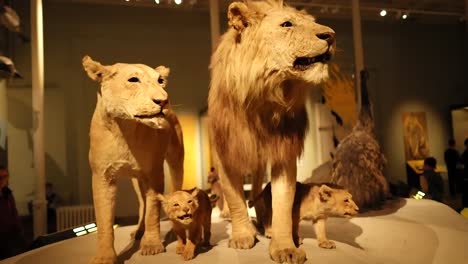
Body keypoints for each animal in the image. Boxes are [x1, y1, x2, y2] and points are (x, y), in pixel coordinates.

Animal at [81, 56, 184, 264]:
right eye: (133, 80)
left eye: (160, 81)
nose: (163, 101)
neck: (125, 128)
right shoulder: (102, 176)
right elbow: (104, 220)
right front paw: (104, 256)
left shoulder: (154, 174)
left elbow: (153, 210)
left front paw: (152, 245)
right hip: (136, 180)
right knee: (142, 203)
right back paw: (138, 231)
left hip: (176, 160)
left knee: (175, 188)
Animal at [207, 1, 334, 262]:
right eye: (287, 24)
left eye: (312, 21)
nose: (331, 35)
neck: (263, 99)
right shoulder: (226, 153)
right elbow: (234, 197)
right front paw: (242, 236)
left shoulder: (283, 153)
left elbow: (283, 202)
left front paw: (285, 247)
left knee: (257, 189)